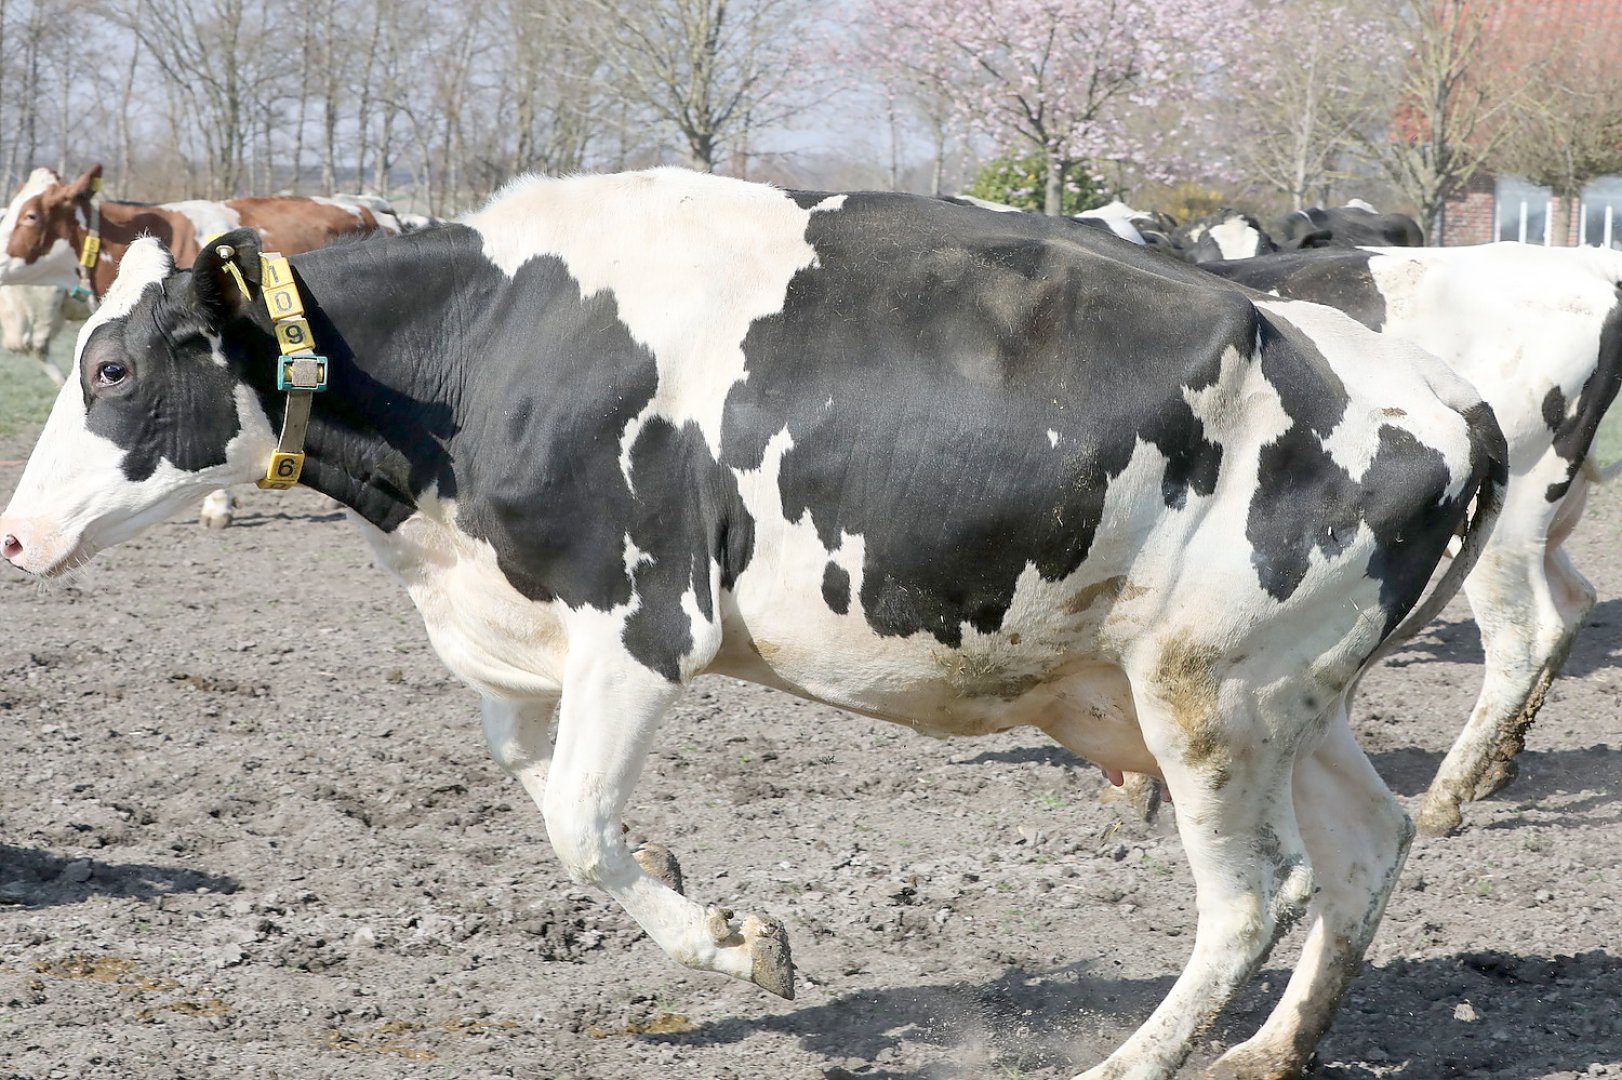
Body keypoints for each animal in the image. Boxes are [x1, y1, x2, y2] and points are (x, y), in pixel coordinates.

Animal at [1199, 243, 1622, 834]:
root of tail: (1588, 263)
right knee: (1575, 598)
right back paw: (1496, 767)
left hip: (1505, 527)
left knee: (1524, 635)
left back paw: (1448, 795)